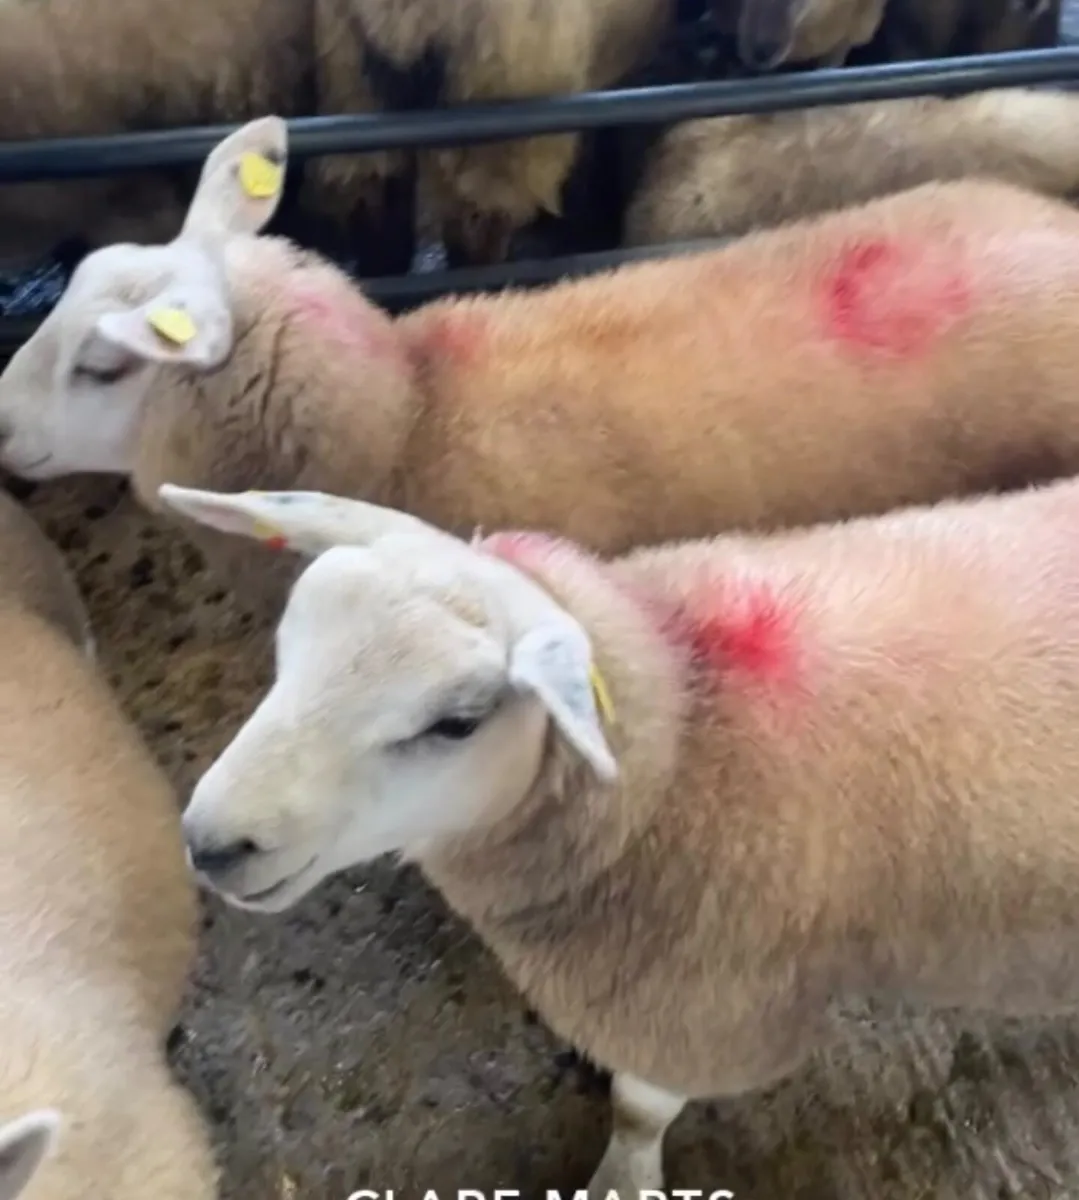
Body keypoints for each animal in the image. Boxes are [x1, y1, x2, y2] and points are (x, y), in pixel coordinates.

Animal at [153, 474, 1079, 1195]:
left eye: (457, 722)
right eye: (287, 646)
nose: (211, 842)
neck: (680, 734)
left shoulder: (699, 1005)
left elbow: (639, 1109)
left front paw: (620, 1178)